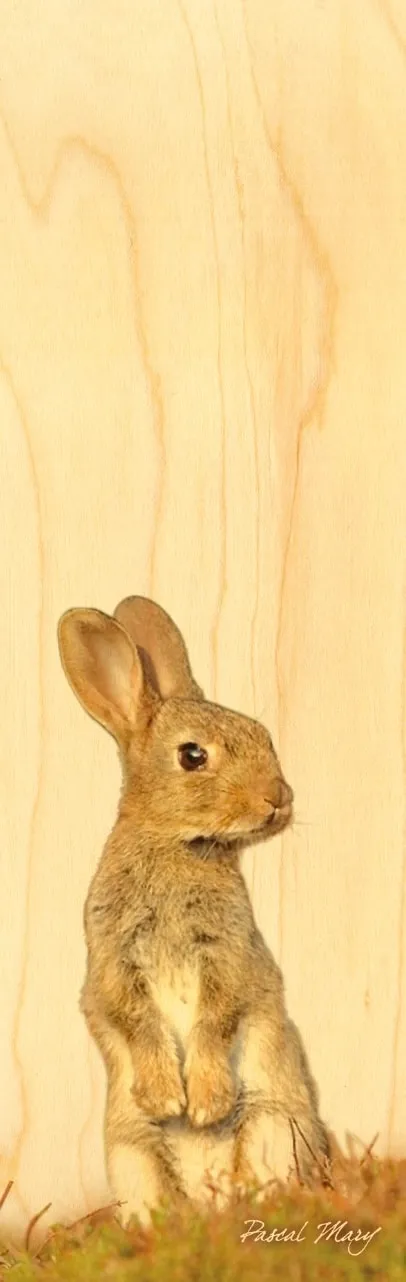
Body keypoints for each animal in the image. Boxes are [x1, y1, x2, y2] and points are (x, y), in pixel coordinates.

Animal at [58, 595, 330, 1227]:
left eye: (262, 734)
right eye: (192, 755)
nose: (278, 798)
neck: (176, 844)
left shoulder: (227, 952)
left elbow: (216, 1019)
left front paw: (204, 1104)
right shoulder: (114, 957)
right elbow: (136, 1019)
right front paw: (166, 1096)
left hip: (274, 1125)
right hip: (131, 1155)